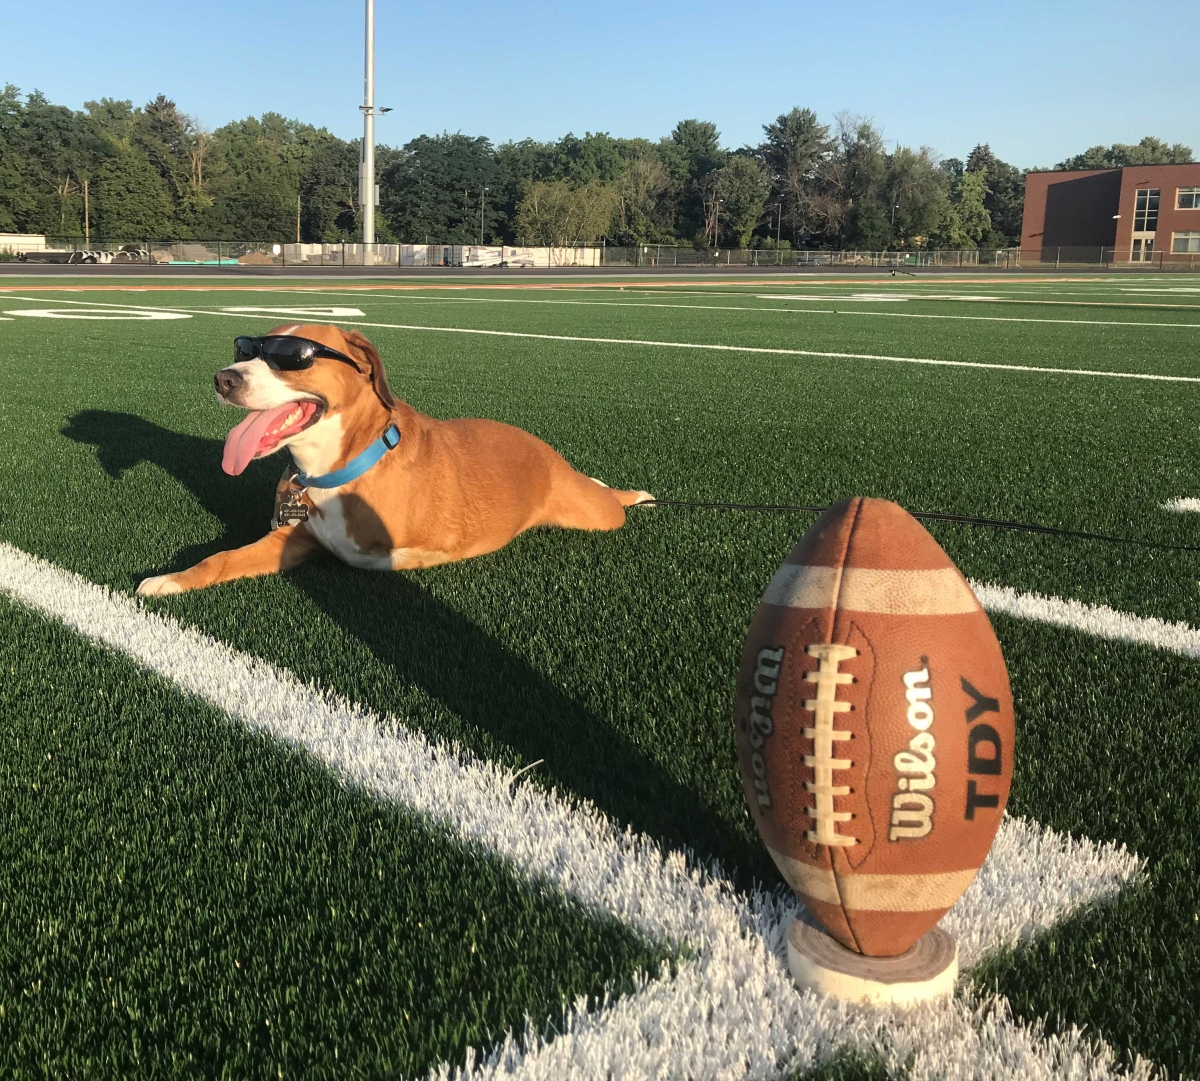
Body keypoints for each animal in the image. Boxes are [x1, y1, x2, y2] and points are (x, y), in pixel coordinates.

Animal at [138, 323, 657, 595]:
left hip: (596, 515)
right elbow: (221, 558)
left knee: (610, 500)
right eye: (245, 348)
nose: (223, 378)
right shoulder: (292, 540)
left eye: (294, 356)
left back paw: (631, 493)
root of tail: (548, 452)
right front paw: (170, 579)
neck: (336, 468)